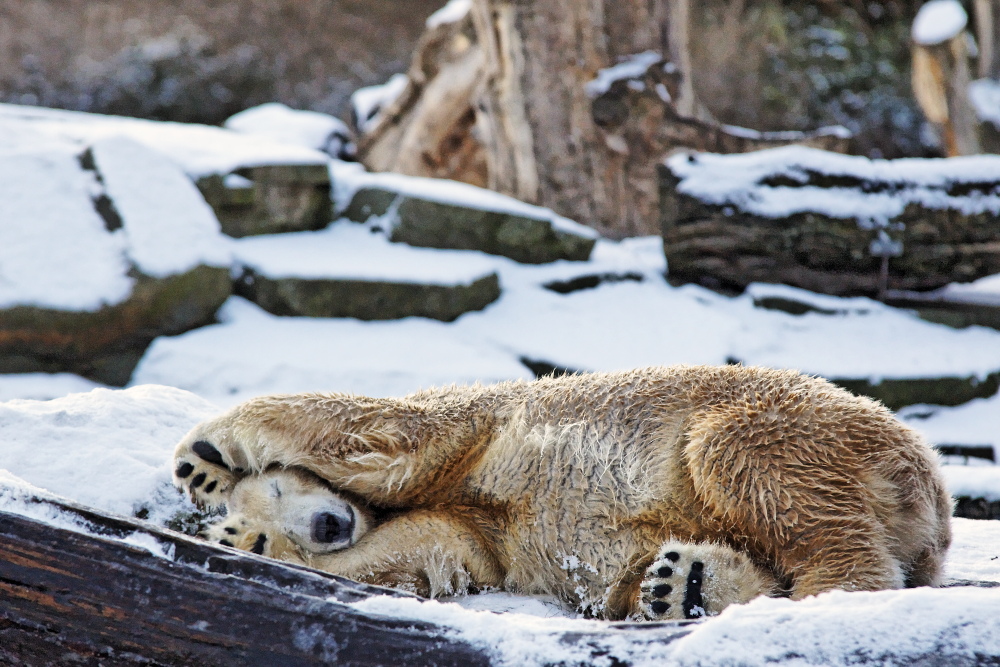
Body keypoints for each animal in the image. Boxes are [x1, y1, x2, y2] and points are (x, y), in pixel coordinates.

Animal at [174, 366, 952, 620]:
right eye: (270, 520)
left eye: (284, 485)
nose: (328, 525)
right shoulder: (470, 531)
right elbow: (422, 551)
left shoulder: (472, 428)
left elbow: (383, 428)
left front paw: (205, 455)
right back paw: (685, 583)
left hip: (783, 423)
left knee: (748, 468)